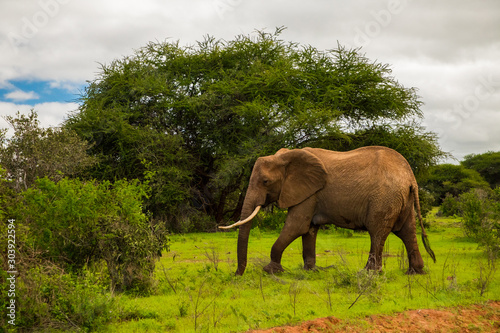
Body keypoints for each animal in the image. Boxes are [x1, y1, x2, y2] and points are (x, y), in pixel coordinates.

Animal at [221, 145, 436, 274]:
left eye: (265, 181)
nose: (237, 274)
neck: (287, 157)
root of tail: (410, 177)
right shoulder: (311, 194)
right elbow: (308, 230)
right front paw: (310, 271)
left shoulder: (309, 194)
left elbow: (296, 227)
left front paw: (270, 270)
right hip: (402, 198)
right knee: (407, 231)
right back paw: (415, 272)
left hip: (384, 198)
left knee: (377, 232)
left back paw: (368, 273)